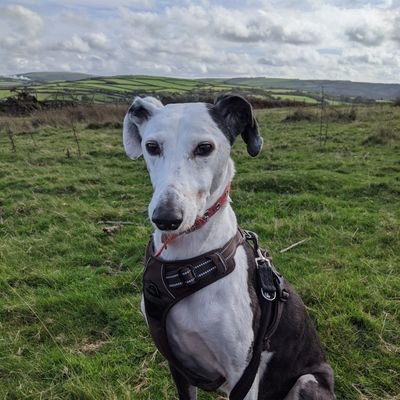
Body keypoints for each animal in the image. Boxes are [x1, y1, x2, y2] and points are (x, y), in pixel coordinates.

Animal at [123, 95, 336, 398]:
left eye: (205, 148)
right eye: (151, 146)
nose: (166, 218)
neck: (186, 264)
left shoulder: (243, 374)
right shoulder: (178, 366)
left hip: (307, 381)